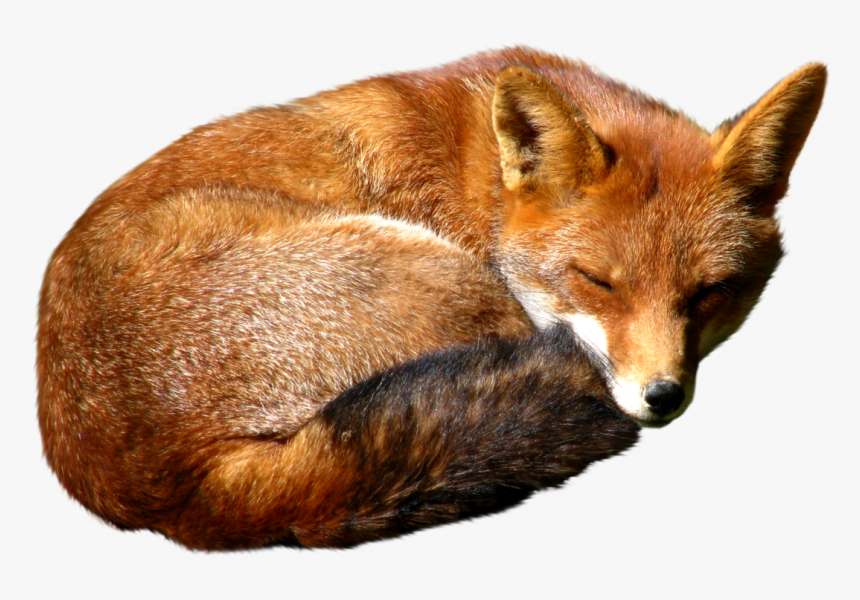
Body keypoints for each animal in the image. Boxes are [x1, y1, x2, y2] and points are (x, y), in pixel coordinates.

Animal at [37, 48, 826, 549]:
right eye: (597, 281)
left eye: (712, 293)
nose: (661, 396)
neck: (482, 183)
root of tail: (170, 493)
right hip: (449, 281)